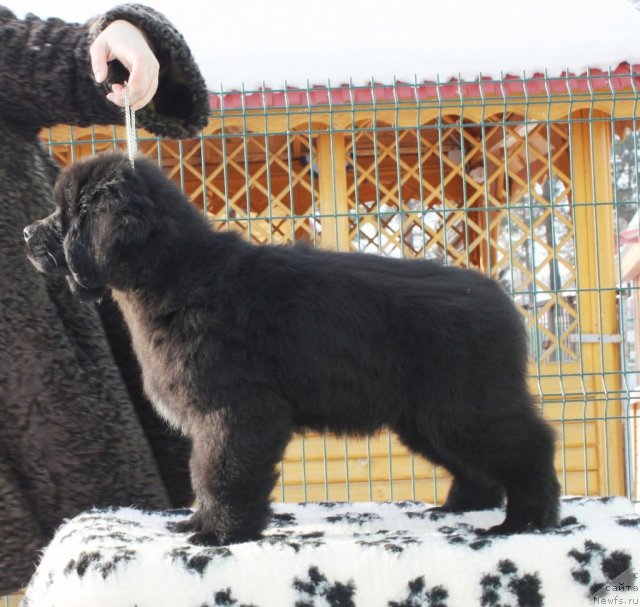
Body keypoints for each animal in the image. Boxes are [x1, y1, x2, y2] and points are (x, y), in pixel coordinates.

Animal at [23, 153, 560, 548]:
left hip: (464, 405)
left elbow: (217, 472)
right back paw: (462, 505)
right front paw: (197, 523)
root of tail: (502, 299)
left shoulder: (235, 410)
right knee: (476, 463)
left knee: (531, 445)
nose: (26, 234)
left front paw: (218, 534)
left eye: (66, 214)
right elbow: (203, 474)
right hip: (427, 417)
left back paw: (528, 520)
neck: (180, 274)